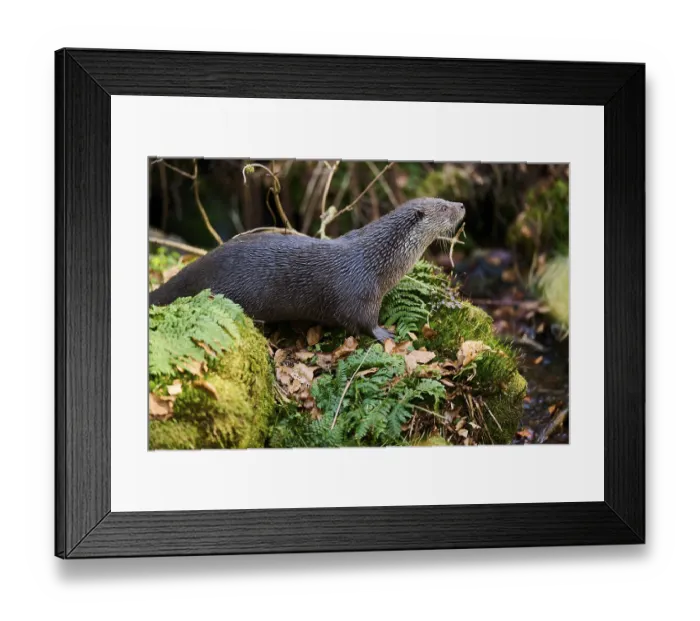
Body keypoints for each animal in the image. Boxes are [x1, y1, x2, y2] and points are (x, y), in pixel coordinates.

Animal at [149, 197, 465, 341]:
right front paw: (384, 334)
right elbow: (364, 321)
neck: (376, 260)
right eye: (443, 207)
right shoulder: (360, 293)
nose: (461, 205)